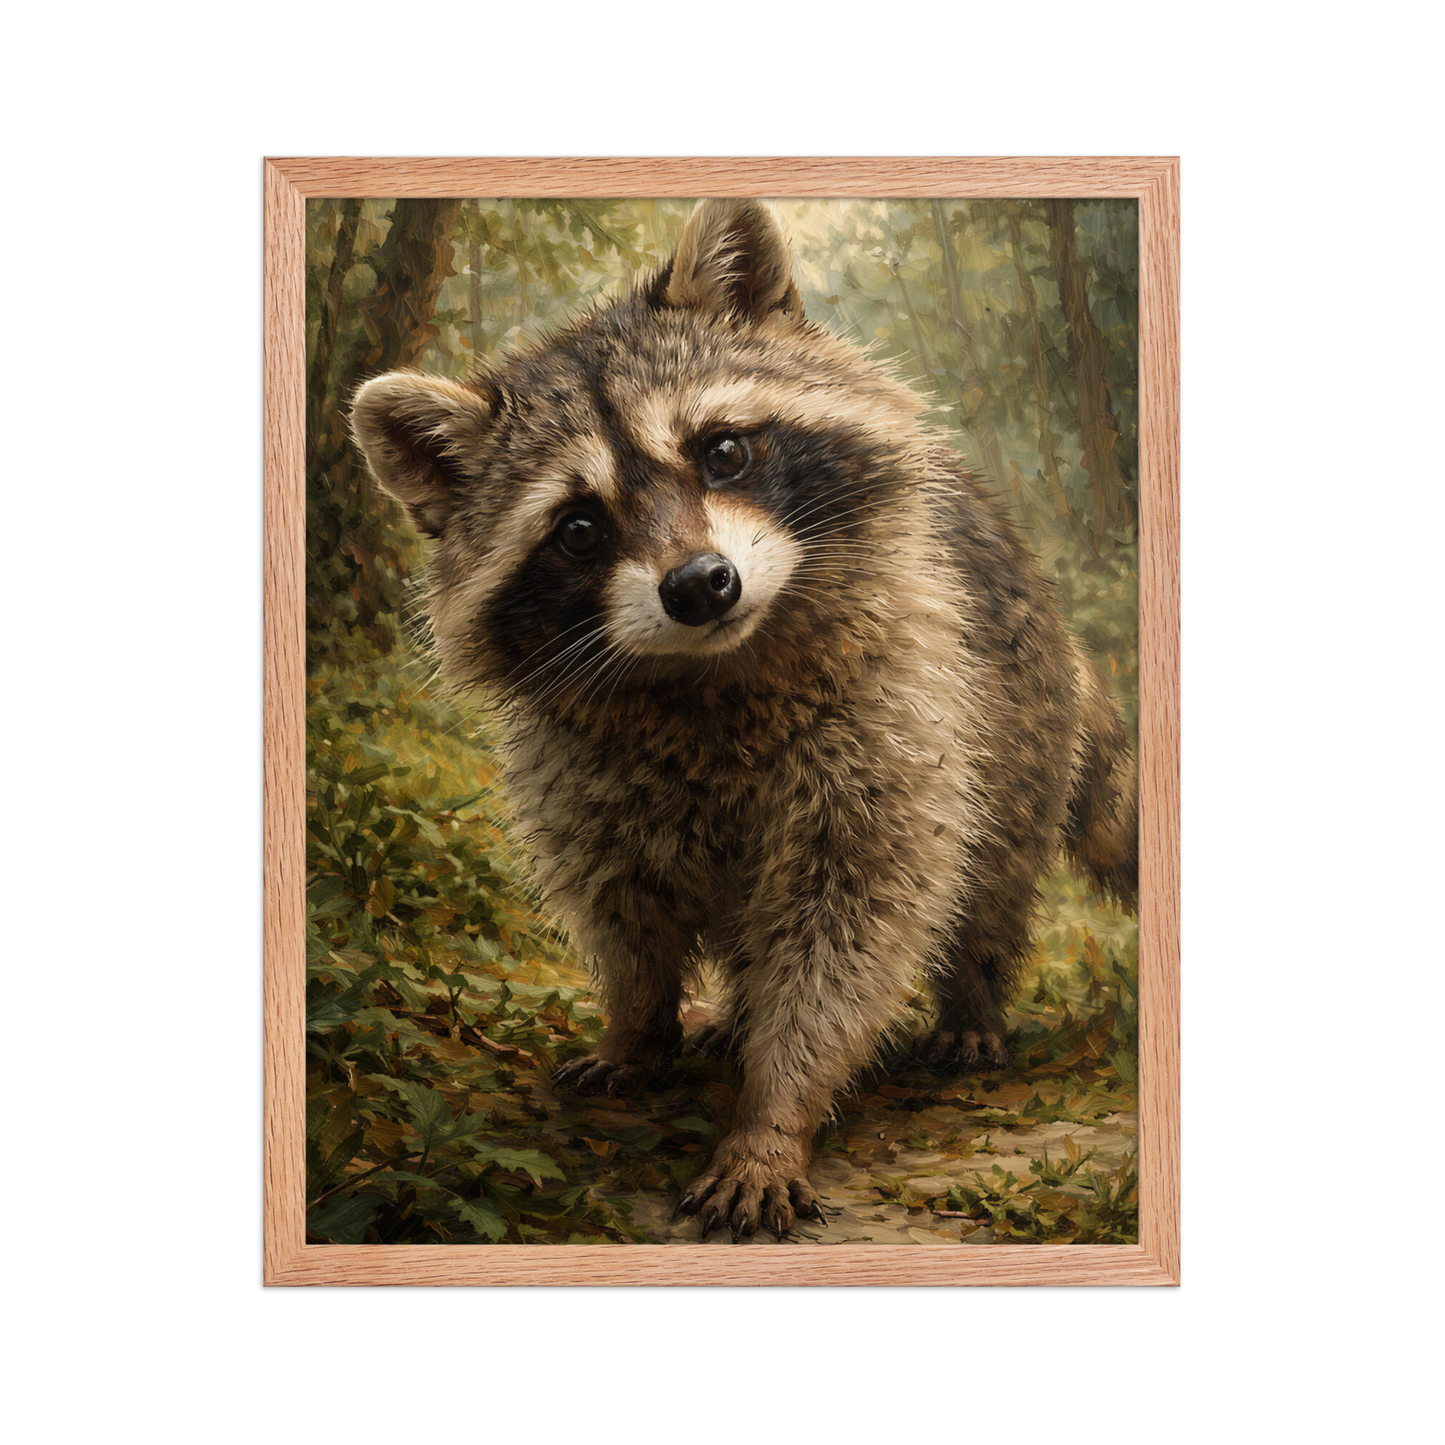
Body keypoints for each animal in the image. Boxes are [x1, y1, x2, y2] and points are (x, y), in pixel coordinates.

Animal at [351, 199, 1137, 1241]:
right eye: (578, 528)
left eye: (721, 450)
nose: (699, 584)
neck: (709, 673)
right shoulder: (577, 768)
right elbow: (622, 908)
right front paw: (638, 1025)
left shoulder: (896, 714)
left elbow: (849, 929)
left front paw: (774, 1112)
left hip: (1016, 718)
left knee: (992, 874)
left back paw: (970, 995)